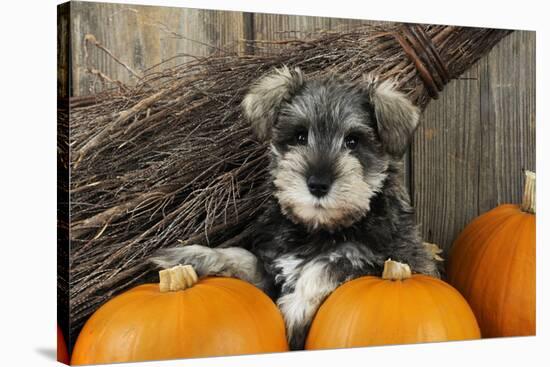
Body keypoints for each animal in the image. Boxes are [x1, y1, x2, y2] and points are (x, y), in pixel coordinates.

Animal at [152, 66, 440, 350]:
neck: (319, 229)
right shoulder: (270, 268)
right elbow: (242, 257)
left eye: (353, 141)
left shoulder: (386, 261)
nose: (318, 184)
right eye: (300, 136)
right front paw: (190, 257)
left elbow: (327, 266)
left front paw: (295, 308)